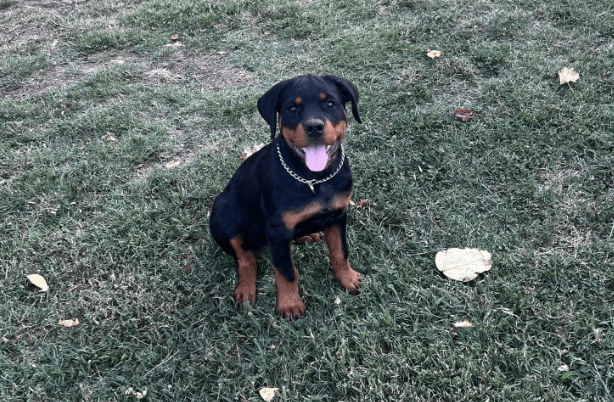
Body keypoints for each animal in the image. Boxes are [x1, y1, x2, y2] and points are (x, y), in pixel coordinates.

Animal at [212, 74, 364, 320]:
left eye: (330, 104)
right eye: (292, 109)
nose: (314, 127)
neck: (314, 180)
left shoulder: (338, 215)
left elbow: (340, 252)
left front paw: (348, 278)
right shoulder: (276, 230)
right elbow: (286, 270)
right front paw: (290, 304)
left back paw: (307, 235)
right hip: (222, 213)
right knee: (245, 257)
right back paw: (246, 287)